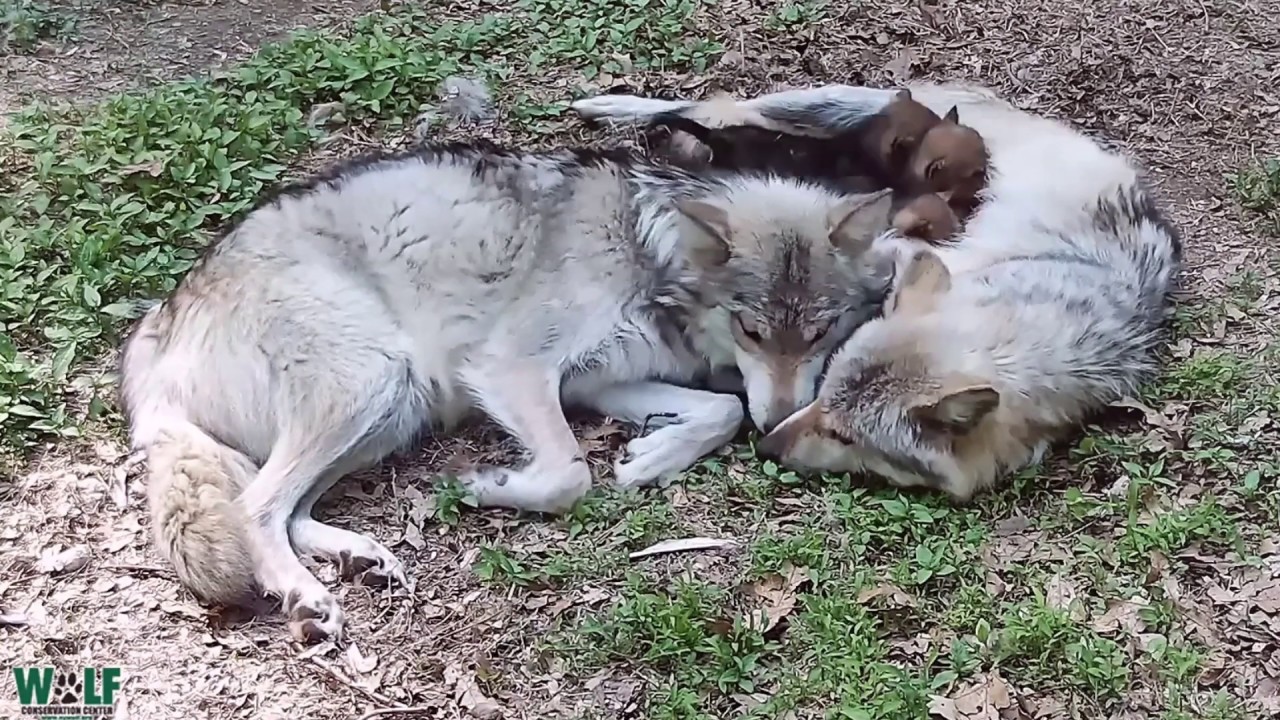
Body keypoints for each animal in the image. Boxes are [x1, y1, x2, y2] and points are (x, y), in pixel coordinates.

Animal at [118, 140, 899, 642]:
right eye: (752, 329)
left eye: (821, 332)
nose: (781, 427)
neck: (645, 249)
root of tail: (155, 331)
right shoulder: (511, 370)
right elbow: (569, 473)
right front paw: (488, 484)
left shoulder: (597, 379)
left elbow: (722, 407)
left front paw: (650, 460)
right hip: (375, 380)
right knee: (256, 503)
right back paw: (306, 592)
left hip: (393, 407)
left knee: (293, 507)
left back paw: (356, 556)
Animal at [573, 82, 1180, 501]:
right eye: (824, 396)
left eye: (844, 436)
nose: (765, 445)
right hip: (814, 105)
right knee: (712, 102)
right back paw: (609, 106)